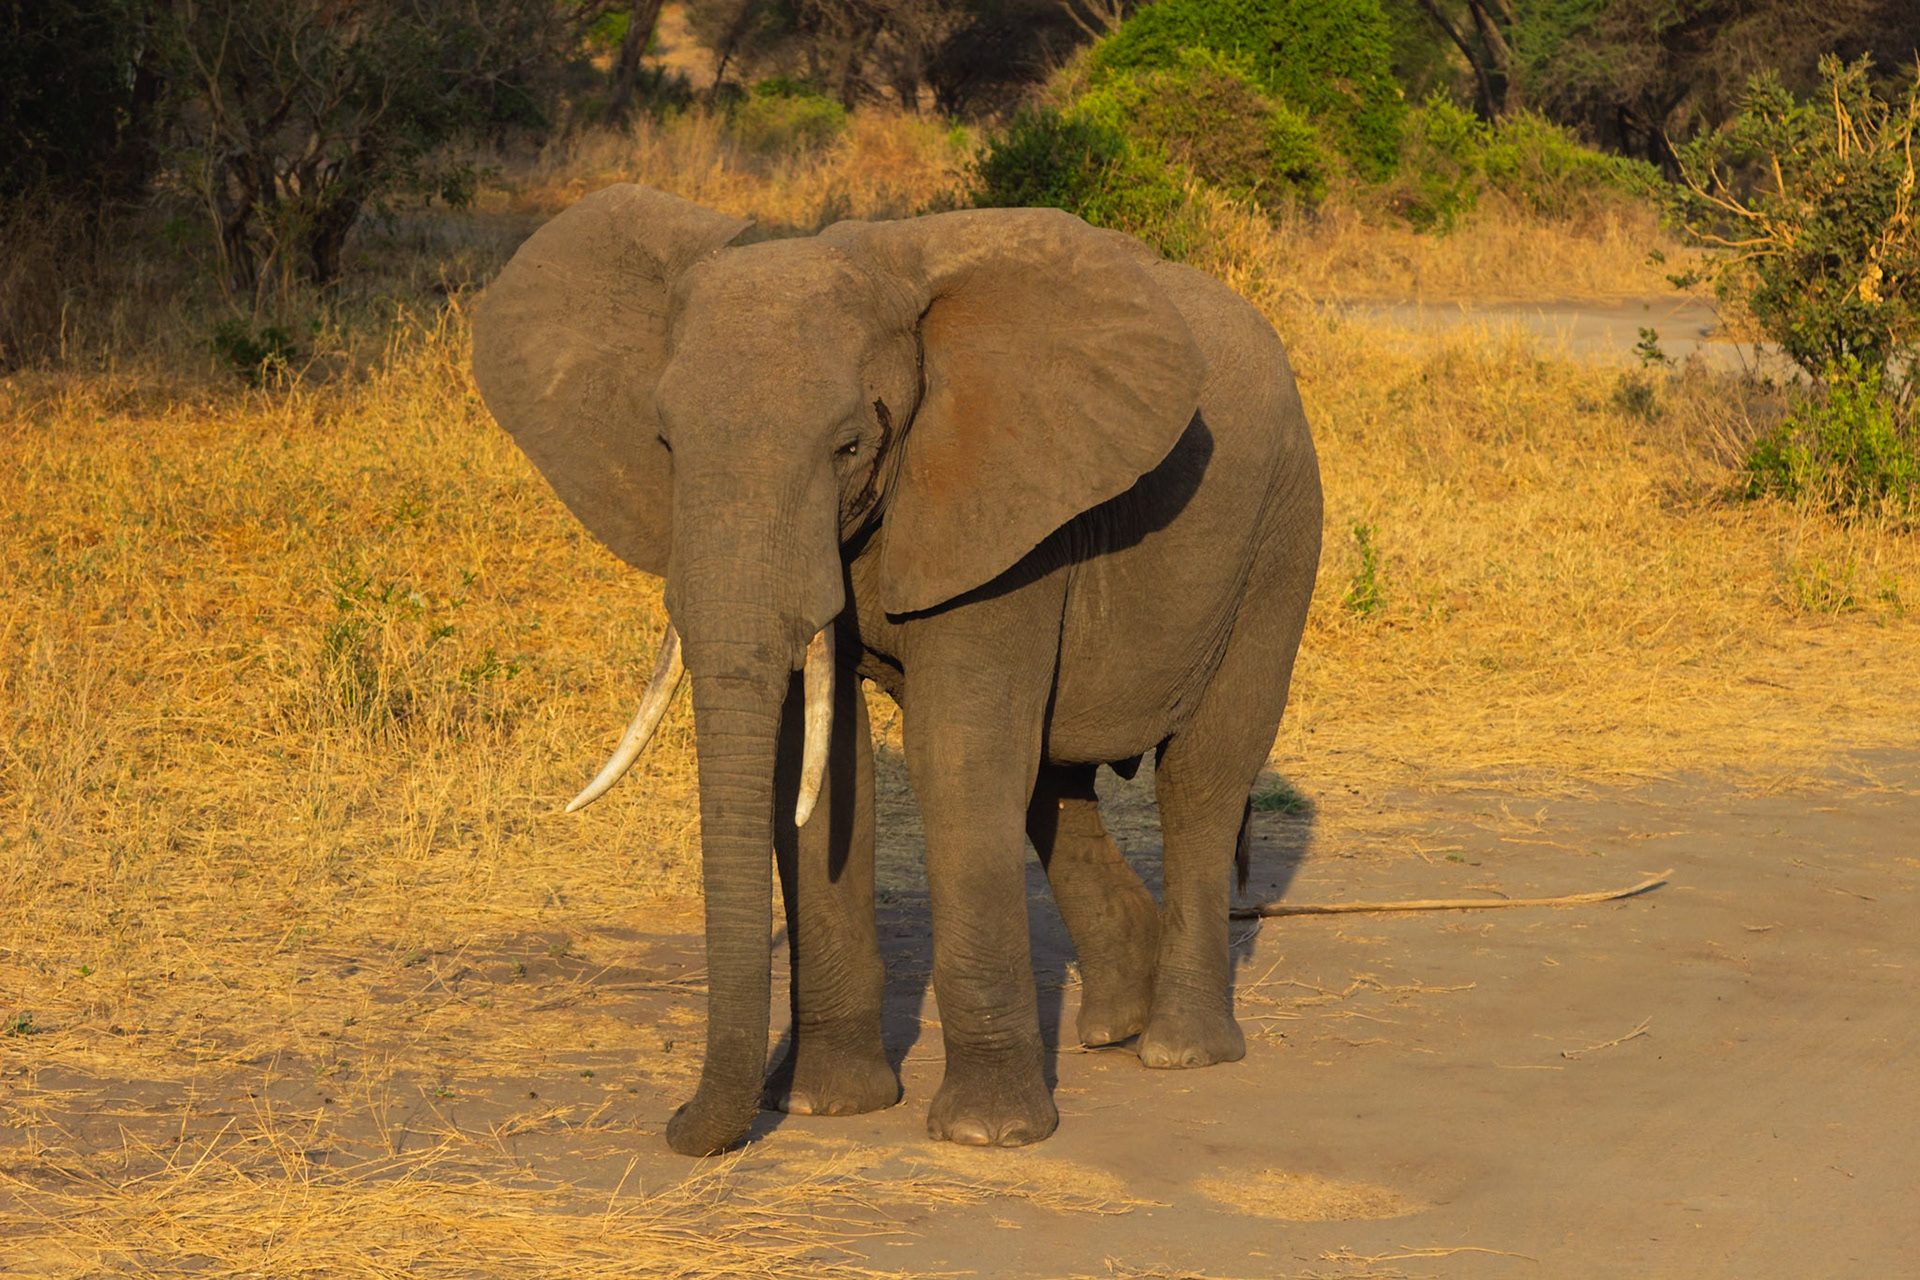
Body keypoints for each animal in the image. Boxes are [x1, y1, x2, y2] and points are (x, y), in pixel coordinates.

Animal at [470, 184, 1322, 1156]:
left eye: (849, 444)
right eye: (665, 442)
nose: (680, 1126)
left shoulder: (1001, 495)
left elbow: (956, 757)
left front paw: (987, 1135)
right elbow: (819, 770)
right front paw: (821, 1105)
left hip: (1281, 537)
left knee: (1203, 777)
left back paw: (1179, 1048)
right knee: (1053, 788)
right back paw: (1116, 1024)